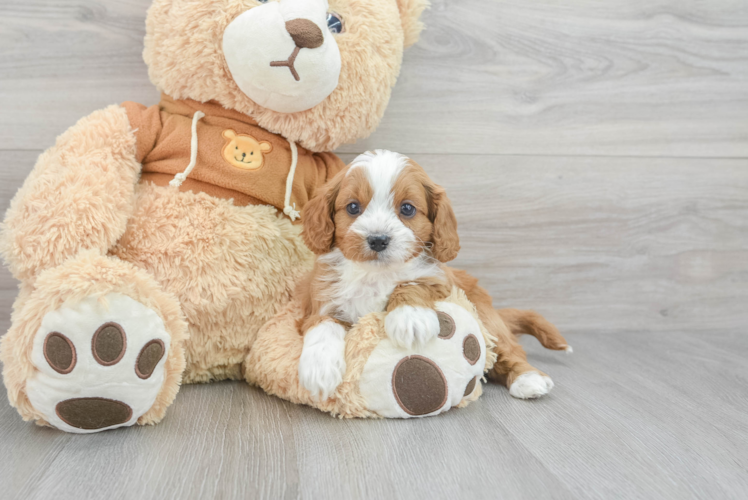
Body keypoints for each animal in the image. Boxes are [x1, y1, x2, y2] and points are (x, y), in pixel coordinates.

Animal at [296, 150, 568, 400]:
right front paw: (319, 369)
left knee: (509, 349)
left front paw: (410, 318)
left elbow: (413, 283)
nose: (378, 239)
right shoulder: (320, 300)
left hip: (485, 316)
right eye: (353, 207)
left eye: (407, 208)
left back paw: (528, 378)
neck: (377, 273)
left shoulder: (442, 281)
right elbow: (323, 325)